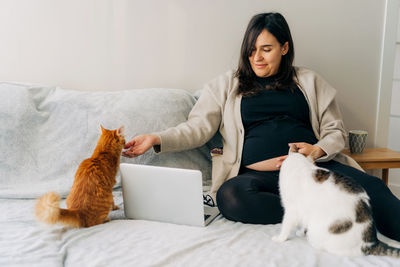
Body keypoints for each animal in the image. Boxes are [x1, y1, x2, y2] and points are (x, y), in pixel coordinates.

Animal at [272, 146, 400, 258]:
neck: (302, 166)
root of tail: (371, 243)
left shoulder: (291, 210)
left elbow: (286, 226)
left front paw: (280, 238)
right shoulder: (304, 211)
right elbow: (303, 224)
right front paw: (300, 232)